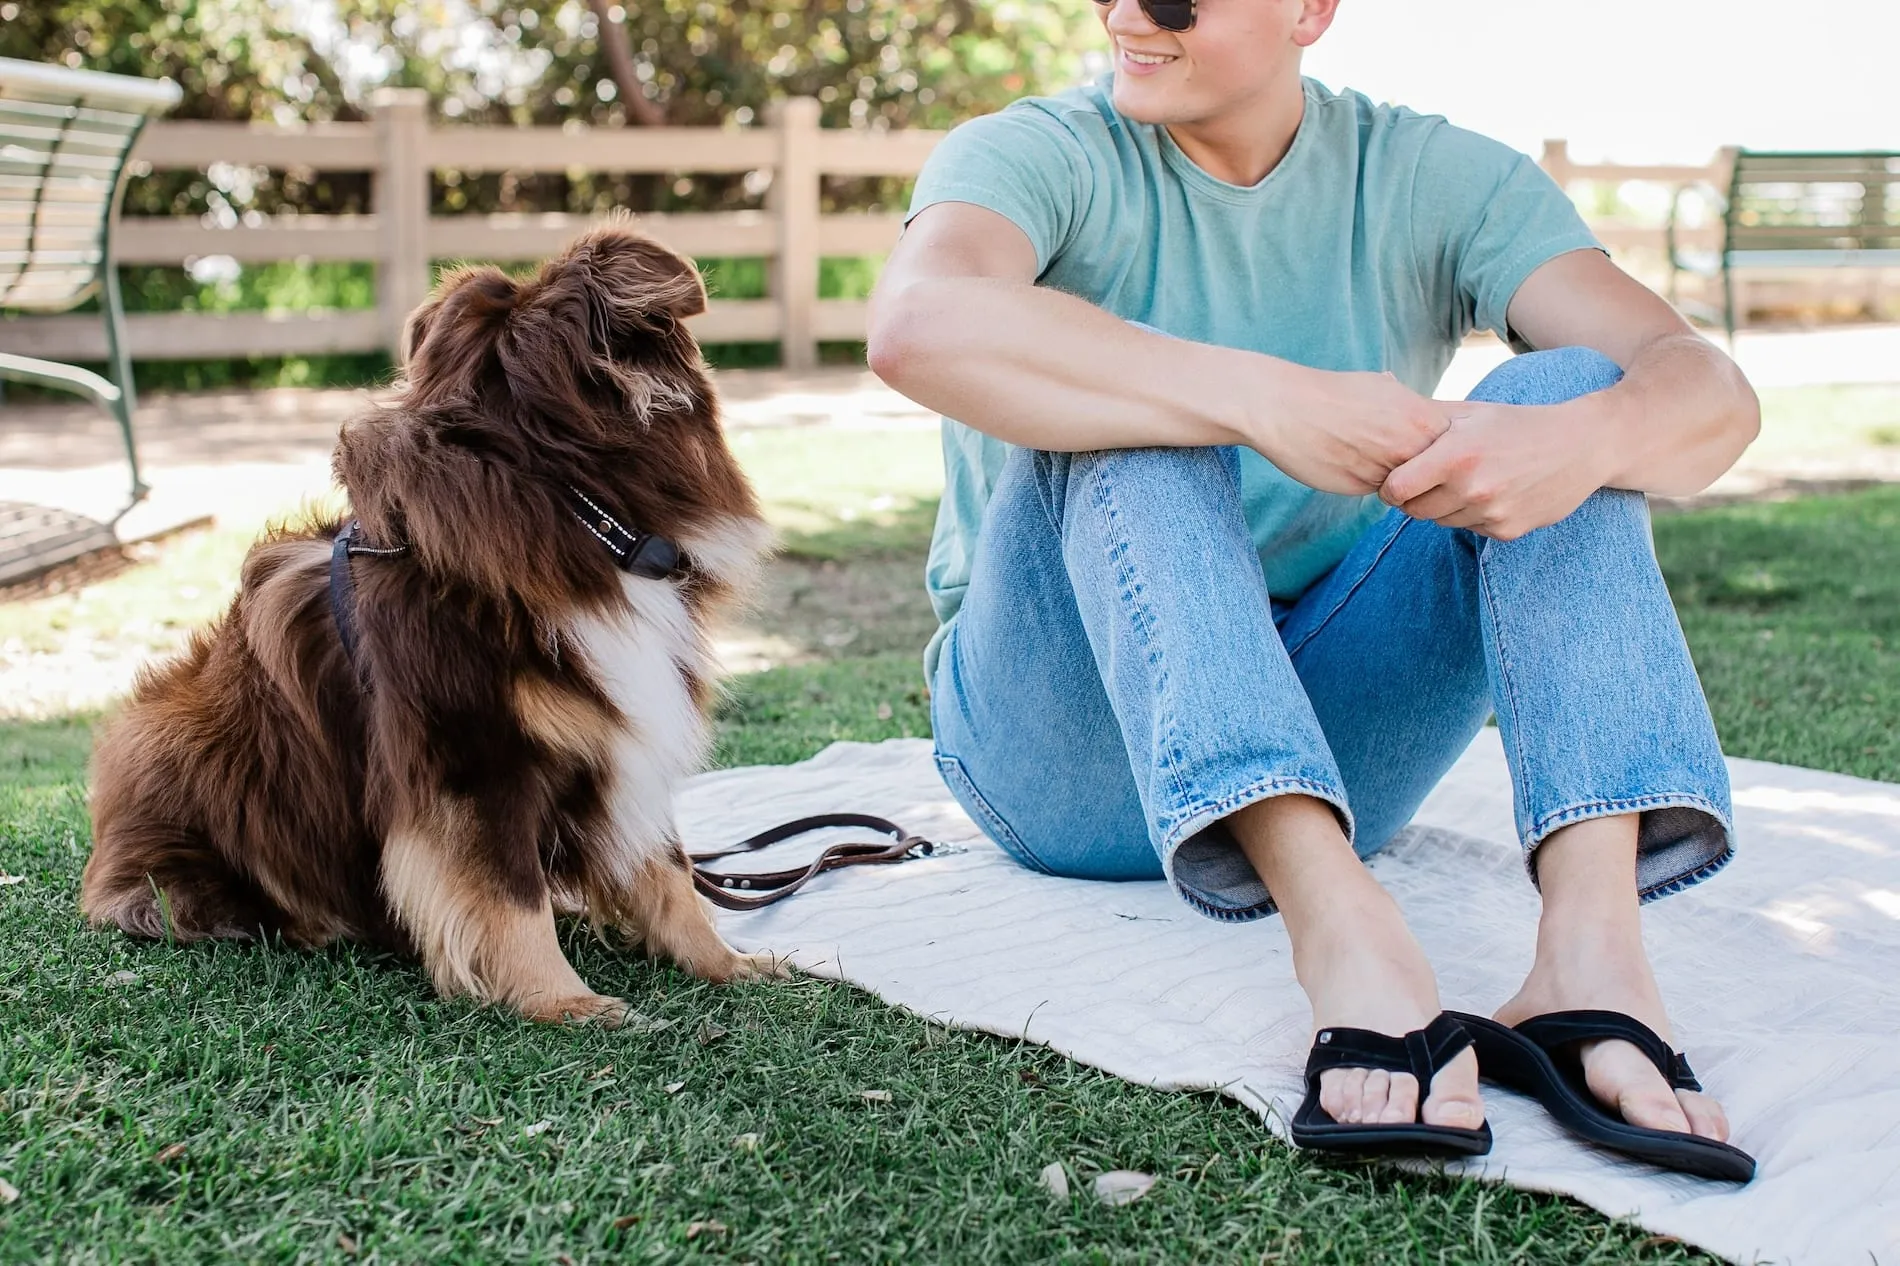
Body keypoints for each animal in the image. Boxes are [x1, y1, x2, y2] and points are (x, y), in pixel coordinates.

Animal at [81, 221, 779, 1018]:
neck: (565, 505)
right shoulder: (471, 759)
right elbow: (511, 895)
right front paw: (562, 1002)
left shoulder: (624, 733)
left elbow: (669, 868)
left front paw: (728, 963)